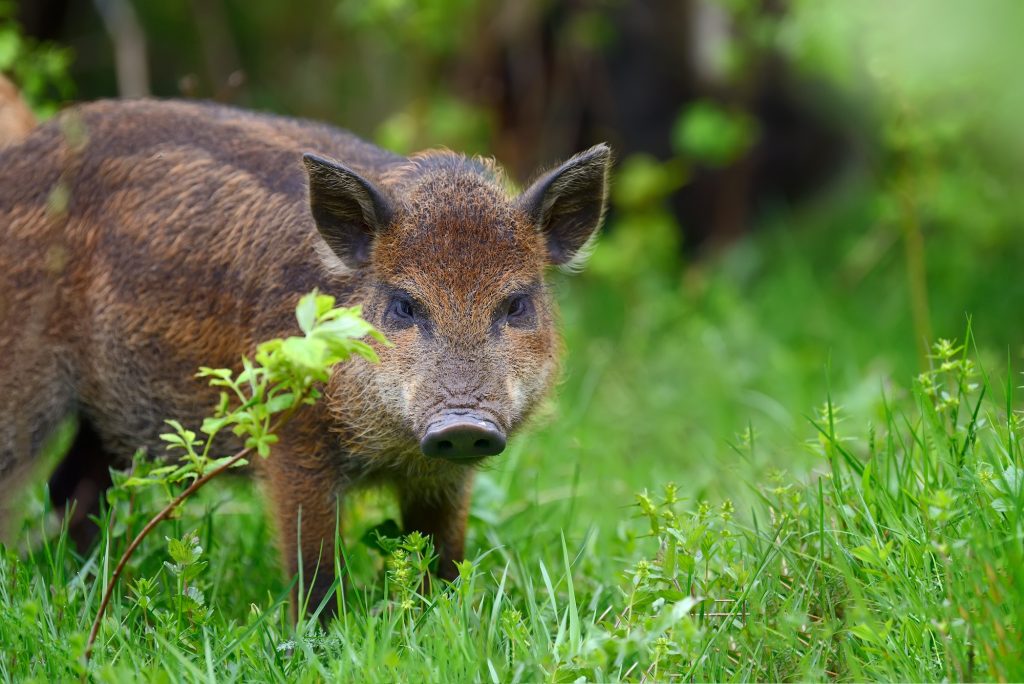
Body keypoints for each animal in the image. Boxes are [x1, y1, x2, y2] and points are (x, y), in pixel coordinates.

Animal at [0, 99, 610, 614]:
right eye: (404, 305)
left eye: (516, 304)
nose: (463, 423)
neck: (388, 447)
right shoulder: (291, 442)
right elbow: (311, 561)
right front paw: (316, 638)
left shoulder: (446, 475)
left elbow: (445, 554)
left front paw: (445, 620)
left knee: (72, 485)